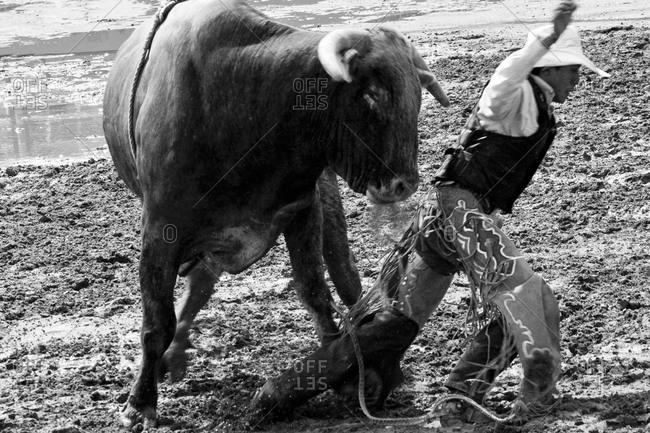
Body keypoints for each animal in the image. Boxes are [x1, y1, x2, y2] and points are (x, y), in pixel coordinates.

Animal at [102, 0, 449, 427]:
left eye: (416, 94)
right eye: (372, 94)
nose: (403, 184)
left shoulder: (303, 210)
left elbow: (315, 292)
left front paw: (335, 367)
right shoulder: (160, 228)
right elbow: (156, 323)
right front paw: (140, 402)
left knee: (344, 278)